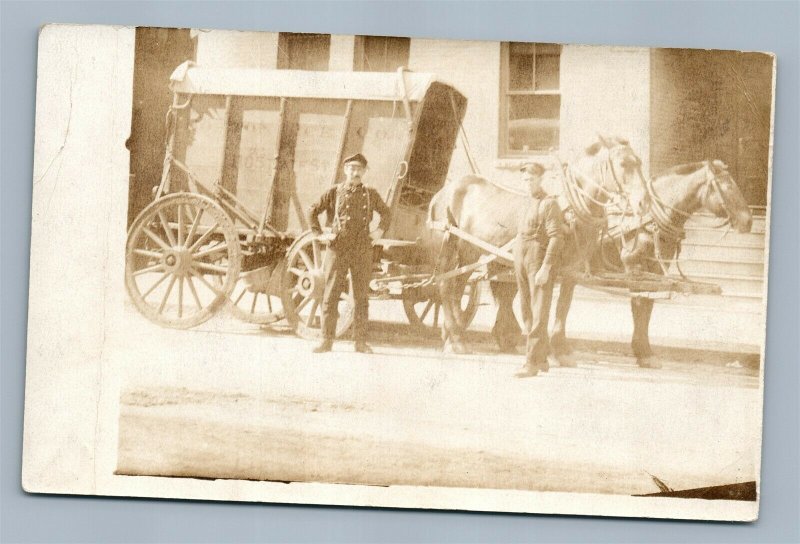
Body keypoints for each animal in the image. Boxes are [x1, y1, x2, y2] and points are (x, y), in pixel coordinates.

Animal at [428, 136, 648, 354]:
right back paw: (456, 339)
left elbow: (563, 305)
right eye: (623, 164)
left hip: (467, 253)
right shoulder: (546, 266)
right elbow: (543, 304)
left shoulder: (572, 268)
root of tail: (443, 193)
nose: (643, 202)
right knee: (446, 287)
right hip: (457, 248)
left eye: (639, 162)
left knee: (456, 289)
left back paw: (451, 334)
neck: (570, 210)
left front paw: (559, 345)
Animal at [552, 159, 752, 368]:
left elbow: (647, 307)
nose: (748, 221)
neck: (652, 218)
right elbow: (639, 306)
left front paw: (644, 352)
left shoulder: (655, 272)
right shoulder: (635, 268)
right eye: (728, 186)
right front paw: (643, 352)